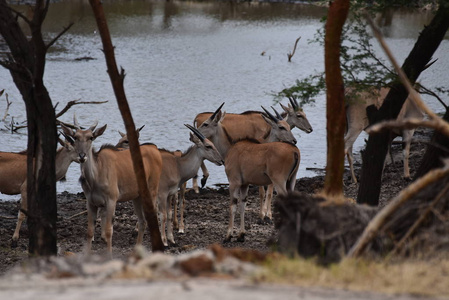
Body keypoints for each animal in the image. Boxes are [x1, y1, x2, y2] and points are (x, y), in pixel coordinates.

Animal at [61, 121, 163, 255]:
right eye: (76, 137)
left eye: (91, 137)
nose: (82, 156)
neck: (96, 176)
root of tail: (155, 149)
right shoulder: (91, 203)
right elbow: (90, 232)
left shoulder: (111, 201)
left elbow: (109, 231)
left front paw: (109, 255)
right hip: (137, 197)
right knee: (143, 221)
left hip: (152, 190)